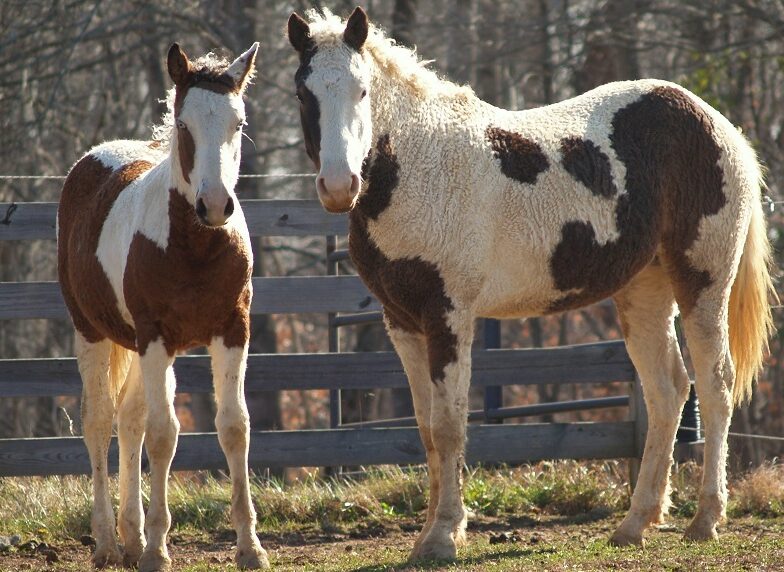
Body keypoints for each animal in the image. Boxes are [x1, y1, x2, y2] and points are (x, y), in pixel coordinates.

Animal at [57, 43, 269, 571]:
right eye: (184, 125)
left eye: (238, 123)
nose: (215, 205)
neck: (194, 247)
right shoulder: (155, 335)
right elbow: (163, 434)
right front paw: (157, 549)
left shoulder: (232, 331)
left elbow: (233, 426)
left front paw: (250, 547)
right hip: (93, 332)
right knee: (100, 422)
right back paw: (108, 543)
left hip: (137, 347)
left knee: (129, 421)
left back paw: (130, 539)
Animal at [287, 7, 776, 562]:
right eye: (303, 93)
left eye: (363, 89)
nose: (338, 186)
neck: (419, 166)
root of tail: (718, 123)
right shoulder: (402, 321)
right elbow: (427, 429)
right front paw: (428, 535)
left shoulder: (449, 315)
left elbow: (450, 426)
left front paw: (444, 535)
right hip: (644, 289)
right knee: (668, 390)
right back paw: (635, 523)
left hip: (703, 280)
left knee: (715, 385)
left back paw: (706, 518)